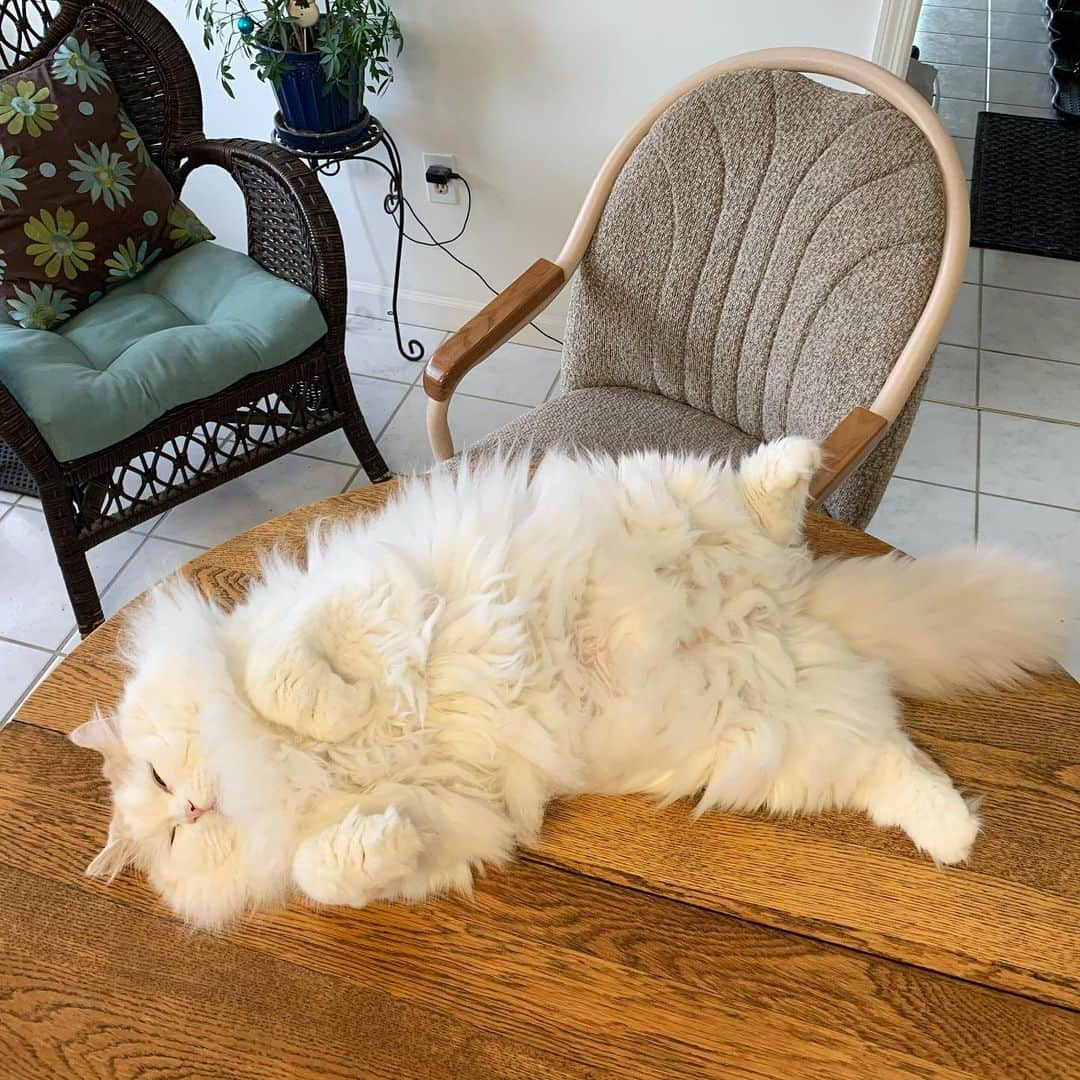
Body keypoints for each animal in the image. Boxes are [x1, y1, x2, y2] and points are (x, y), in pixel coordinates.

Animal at [69, 438, 1071, 928]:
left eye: (161, 785)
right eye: (171, 836)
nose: (192, 809)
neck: (274, 775)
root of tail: (791, 608)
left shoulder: (346, 598)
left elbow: (286, 678)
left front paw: (343, 708)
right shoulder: (455, 814)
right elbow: (333, 872)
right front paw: (381, 838)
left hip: (675, 497)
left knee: (762, 501)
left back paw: (789, 461)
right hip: (792, 746)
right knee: (898, 766)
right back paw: (957, 837)